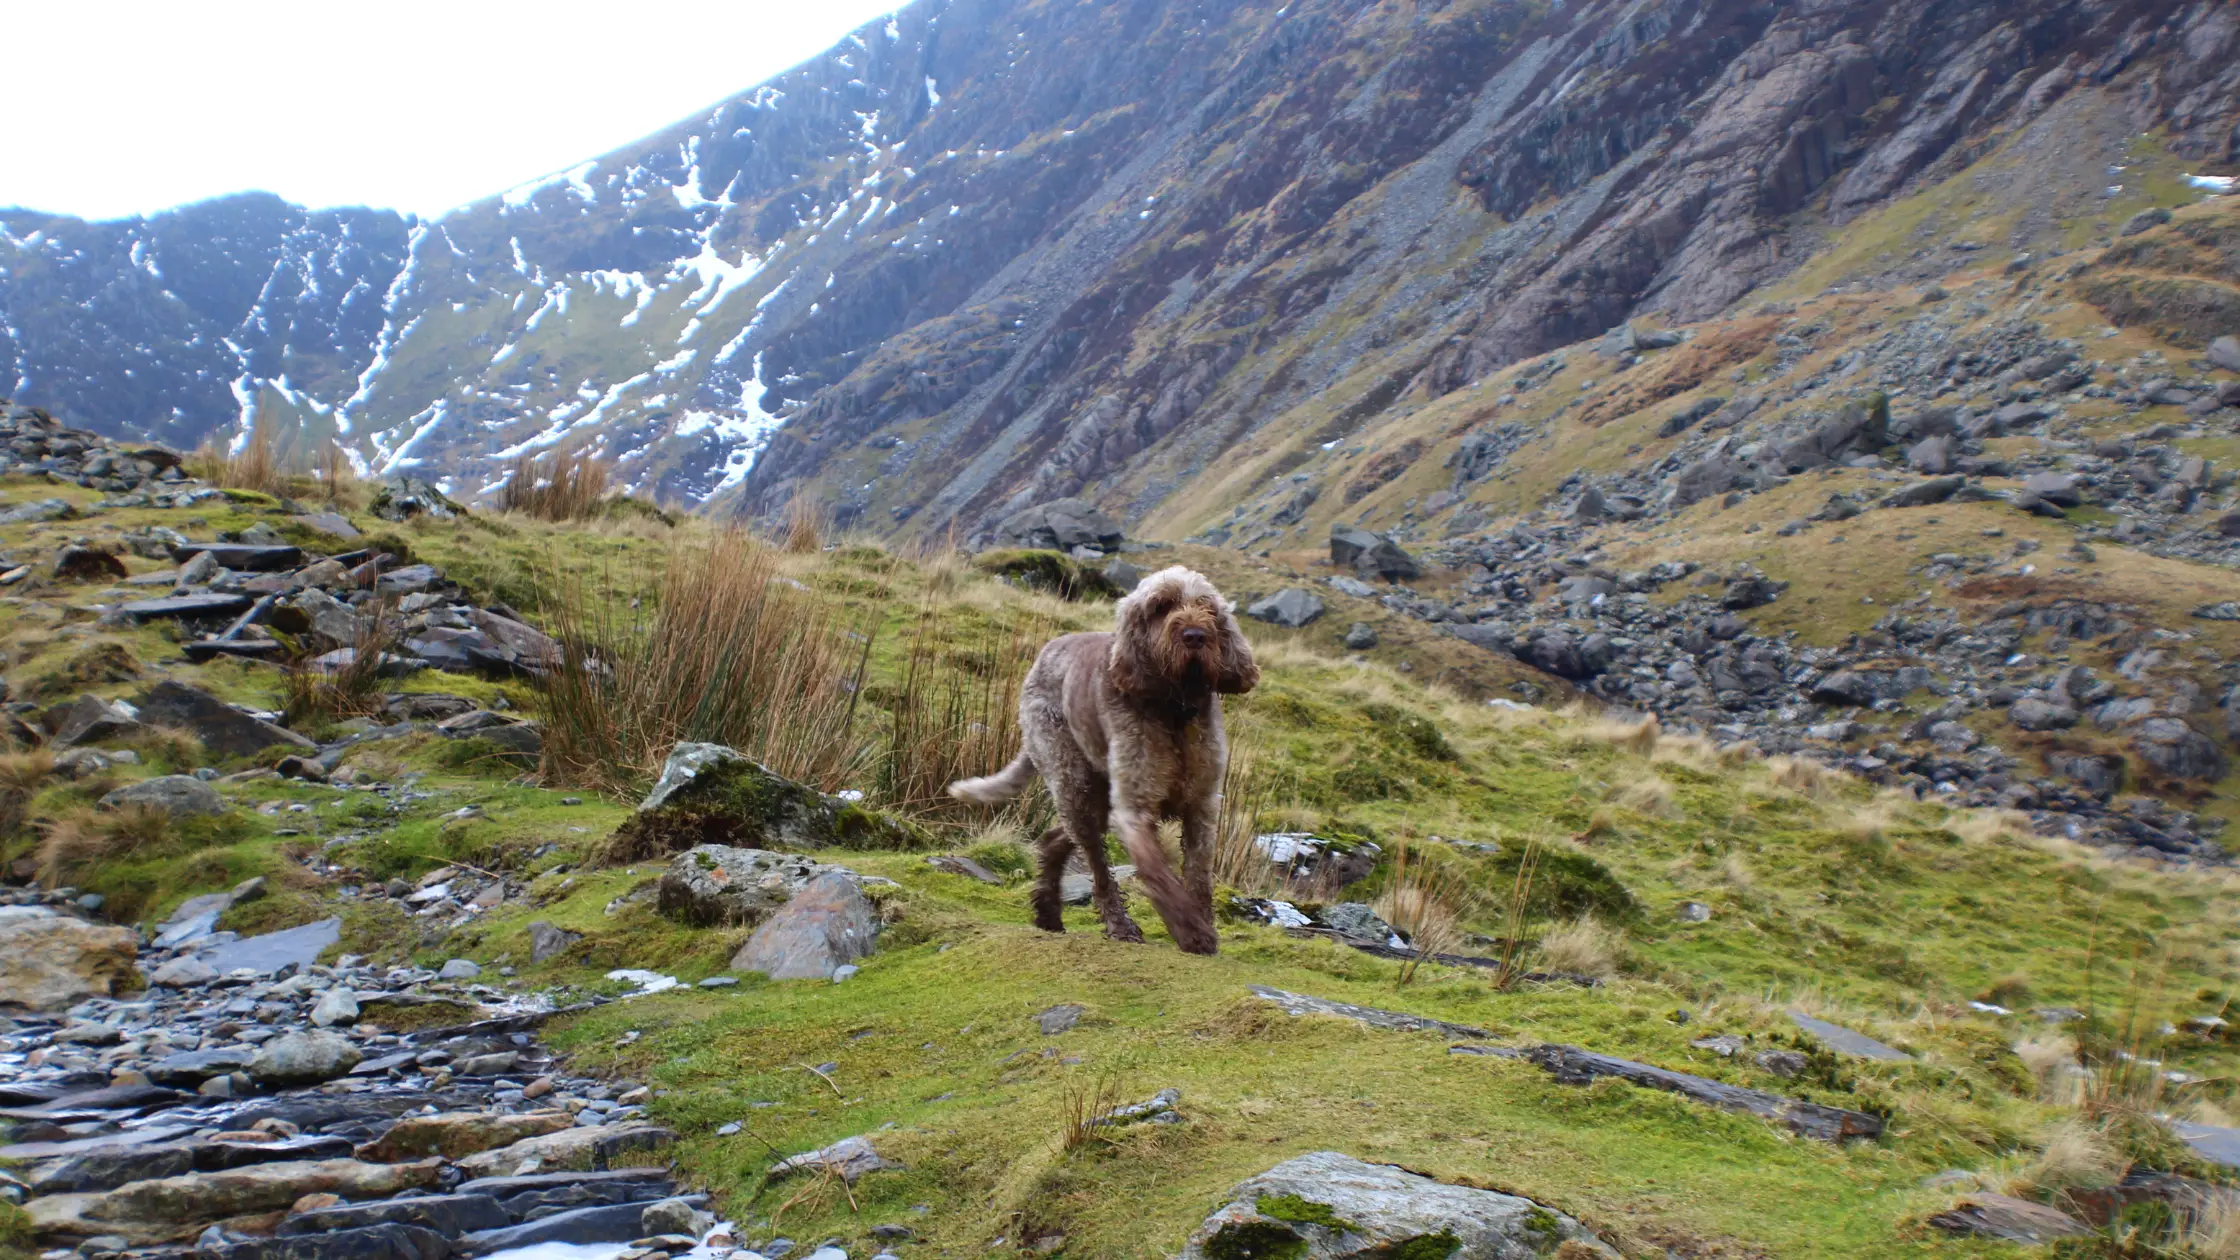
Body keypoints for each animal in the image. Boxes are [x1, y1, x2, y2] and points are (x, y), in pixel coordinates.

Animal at [945, 564, 1263, 946]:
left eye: (1208, 607)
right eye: (1160, 607)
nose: (1195, 636)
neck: (1174, 709)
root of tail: (1043, 656)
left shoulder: (1202, 805)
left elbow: (1199, 877)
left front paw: (1202, 924)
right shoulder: (1134, 809)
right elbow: (1159, 875)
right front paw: (1191, 931)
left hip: (1091, 796)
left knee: (1056, 839)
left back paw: (1048, 913)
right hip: (1073, 782)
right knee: (1096, 868)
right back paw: (1118, 925)